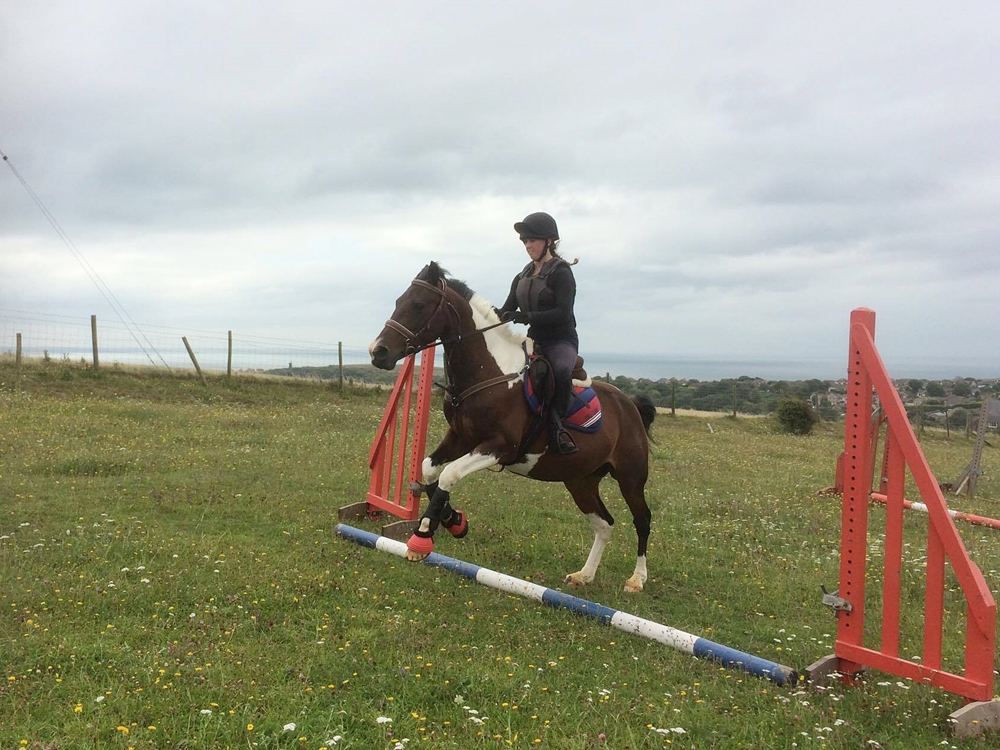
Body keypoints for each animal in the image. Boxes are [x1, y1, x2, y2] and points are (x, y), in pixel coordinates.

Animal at [368, 262, 656, 593]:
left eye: (418, 304)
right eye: (398, 301)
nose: (377, 352)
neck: (489, 372)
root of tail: (630, 405)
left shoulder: (500, 447)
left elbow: (450, 474)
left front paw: (424, 535)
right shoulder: (460, 438)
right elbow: (429, 470)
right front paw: (455, 521)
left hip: (630, 477)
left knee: (642, 519)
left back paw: (636, 579)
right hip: (581, 480)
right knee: (604, 524)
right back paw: (584, 575)